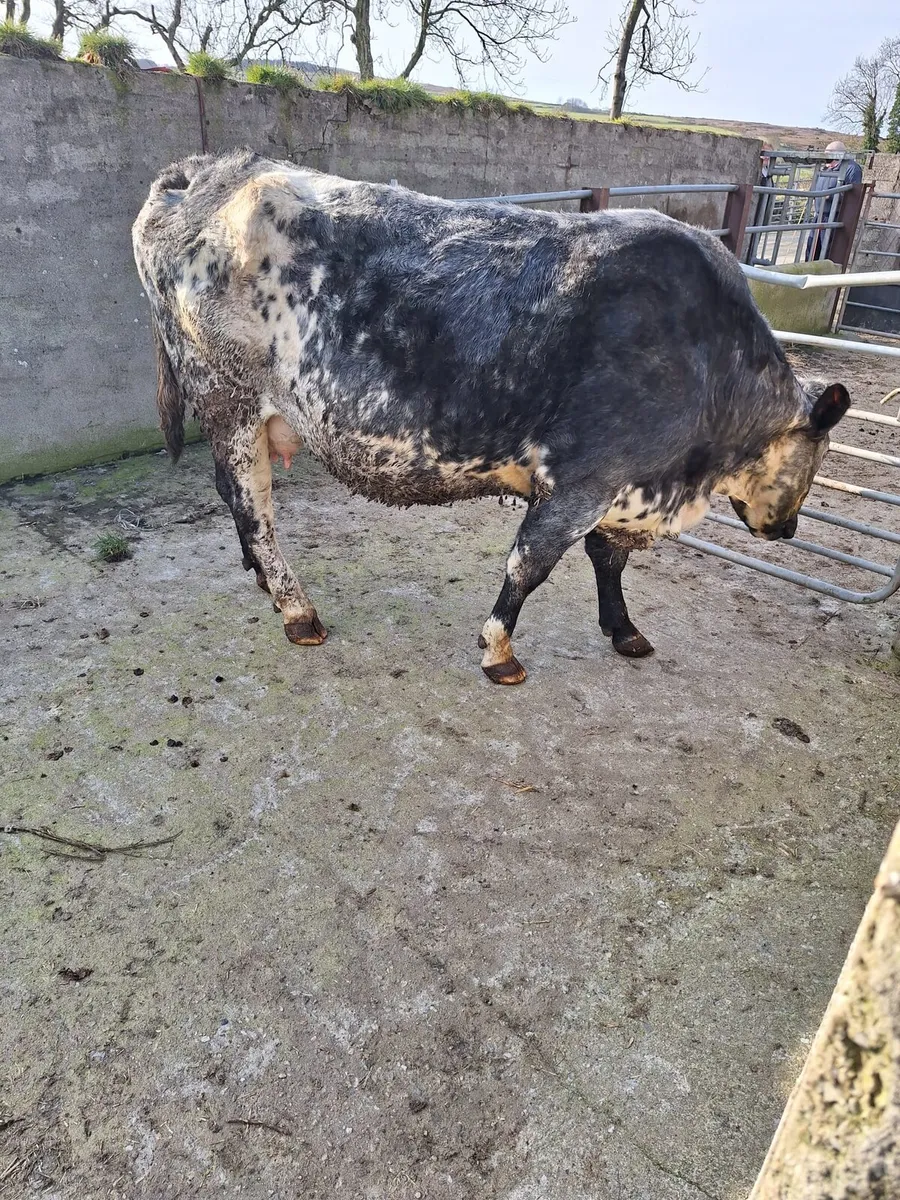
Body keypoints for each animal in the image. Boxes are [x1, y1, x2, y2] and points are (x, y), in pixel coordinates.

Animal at [132, 150, 850, 685]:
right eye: (818, 458)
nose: (788, 530)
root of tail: (208, 171)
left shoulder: (619, 489)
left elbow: (606, 559)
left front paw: (623, 629)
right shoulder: (584, 478)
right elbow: (529, 564)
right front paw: (499, 651)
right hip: (229, 402)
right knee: (251, 506)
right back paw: (295, 609)